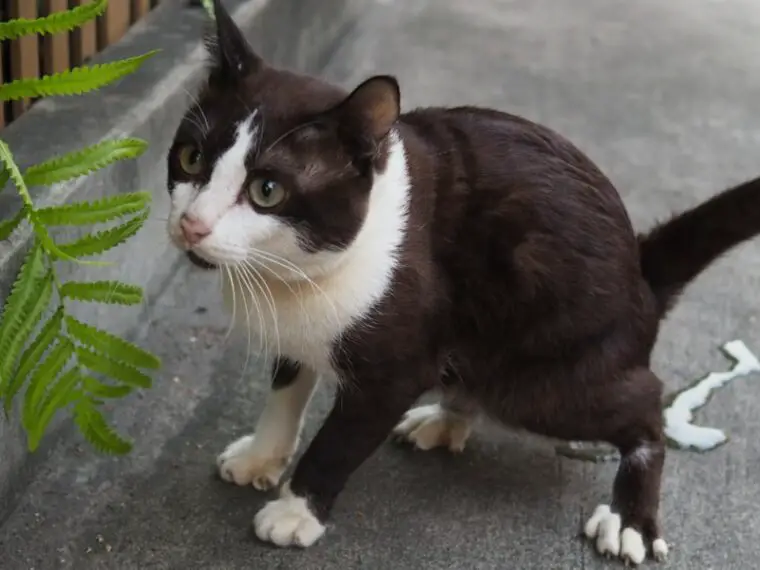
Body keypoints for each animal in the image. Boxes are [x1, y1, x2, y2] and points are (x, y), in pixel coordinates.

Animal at [168, 0, 760, 560]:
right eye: (190, 158)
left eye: (267, 190)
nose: (191, 224)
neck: (291, 274)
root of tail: (639, 274)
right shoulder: (295, 324)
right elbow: (286, 388)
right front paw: (261, 455)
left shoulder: (396, 367)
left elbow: (338, 441)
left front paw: (296, 511)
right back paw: (446, 418)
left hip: (548, 377)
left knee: (643, 403)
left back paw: (632, 518)